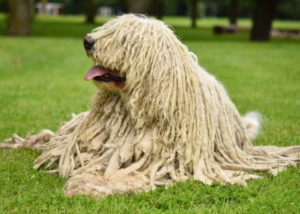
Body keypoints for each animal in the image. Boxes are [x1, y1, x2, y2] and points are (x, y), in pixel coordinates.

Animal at [0, 13, 300, 197]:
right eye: (108, 28)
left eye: (123, 39)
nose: (87, 41)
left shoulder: (161, 161)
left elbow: (126, 175)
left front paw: (88, 184)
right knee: (55, 138)